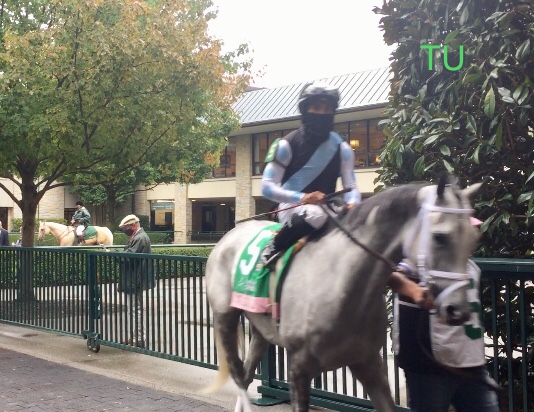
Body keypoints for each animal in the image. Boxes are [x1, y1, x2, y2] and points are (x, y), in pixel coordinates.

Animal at [204, 178, 482, 412]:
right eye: (440, 237)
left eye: (473, 237)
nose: (458, 311)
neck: (341, 284)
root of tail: (228, 236)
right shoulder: (299, 368)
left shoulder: (368, 362)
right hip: (225, 317)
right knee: (238, 373)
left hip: (261, 329)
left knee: (247, 374)